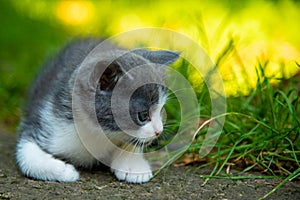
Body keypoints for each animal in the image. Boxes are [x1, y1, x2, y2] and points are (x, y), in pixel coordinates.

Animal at [16, 38, 179, 184]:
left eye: (161, 110)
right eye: (143, 115)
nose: (159, 131)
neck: (98, 131)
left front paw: (133, 167)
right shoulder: (43, 118)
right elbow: (26, 151)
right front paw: (63, 171)